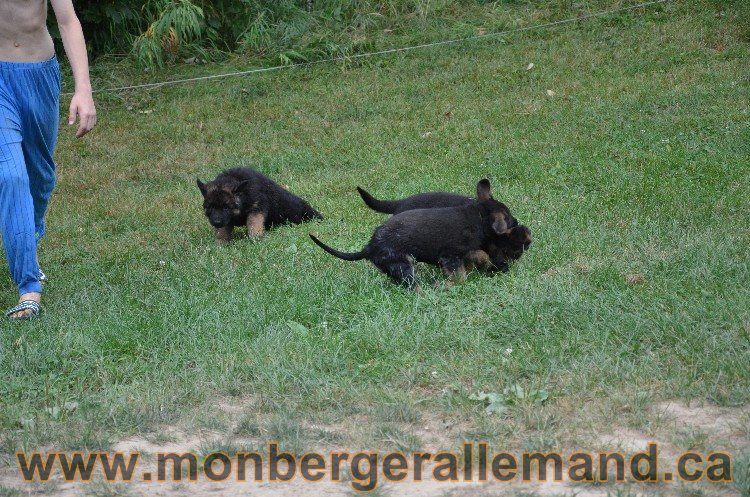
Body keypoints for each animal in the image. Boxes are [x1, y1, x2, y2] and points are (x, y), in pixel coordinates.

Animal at [312, 179, 516, 288]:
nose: (517, 223)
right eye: (508, 217)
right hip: (404, 264)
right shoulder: (450, 254)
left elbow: (478, 256)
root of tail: (369, 247)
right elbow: (461, 274)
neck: (478, 215)